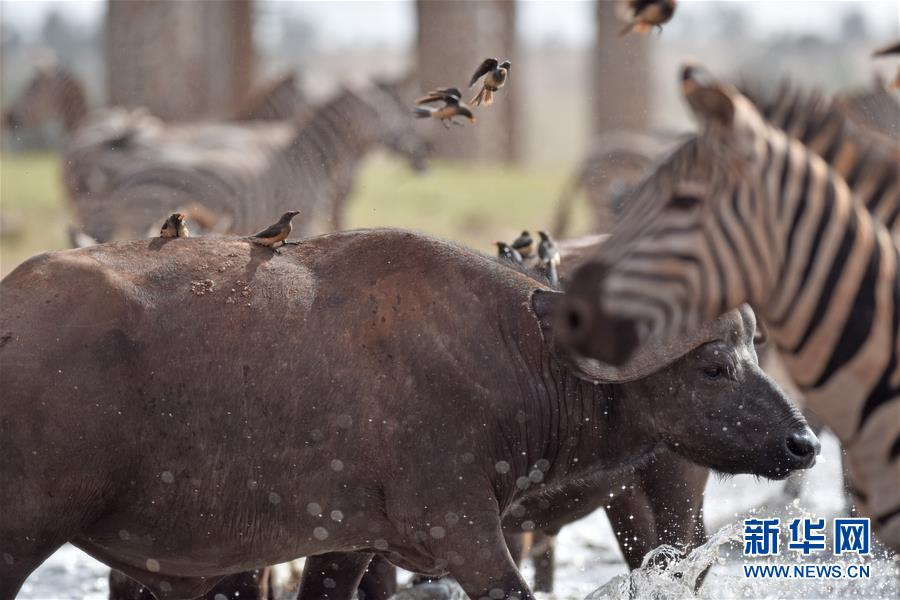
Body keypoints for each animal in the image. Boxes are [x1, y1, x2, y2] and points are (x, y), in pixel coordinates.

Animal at [0, 230, 816, 600]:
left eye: (753, 347)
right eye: (712, 366)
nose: (803, 441)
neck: (514, 350)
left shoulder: (350, 541)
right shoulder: (464, 531)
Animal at [92, 77, 432, 241]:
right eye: (386, 112)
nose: (423, 154)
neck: (308, 156)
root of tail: (126, 176)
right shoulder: (307, 213)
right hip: (144, 217)